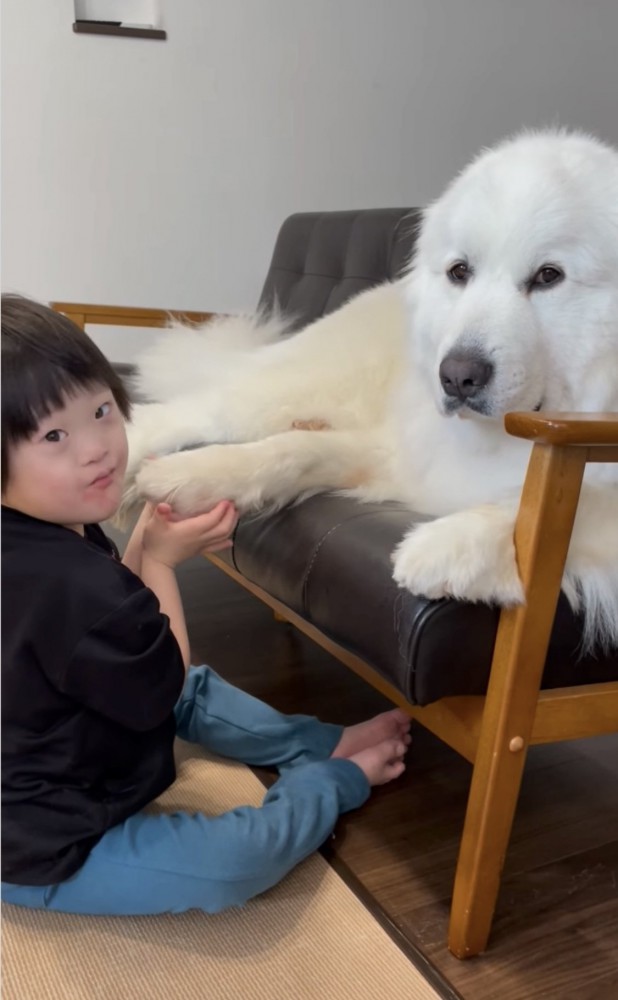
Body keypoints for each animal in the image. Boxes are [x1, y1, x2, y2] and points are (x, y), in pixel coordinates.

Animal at [124, 129, 616, 648]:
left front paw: (452, 543)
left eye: (549, 276)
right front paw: (189, 475)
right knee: (189, 411)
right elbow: (287, 450)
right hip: (298, 385)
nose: (455, 376)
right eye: (460, 272)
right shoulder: (402, 451)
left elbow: (575, 505)